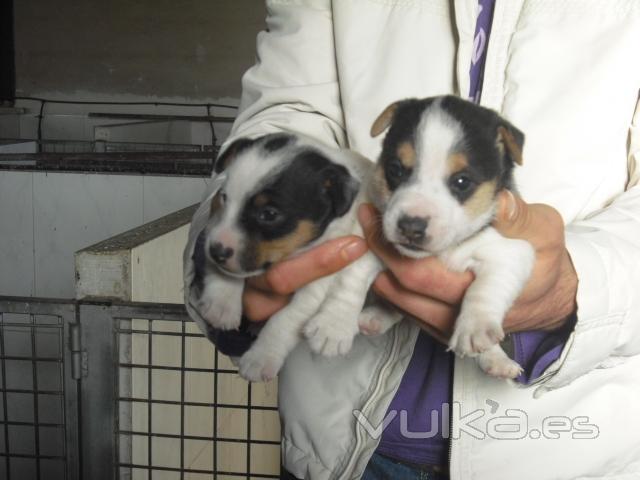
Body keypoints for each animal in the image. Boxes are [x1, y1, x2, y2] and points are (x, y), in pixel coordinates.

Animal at [198, 133, 372, 380]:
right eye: (223, 197)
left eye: (269, 214)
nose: (216, 251)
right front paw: (221, 302)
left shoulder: (317, 282)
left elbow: (285, 319)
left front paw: (261, 357)